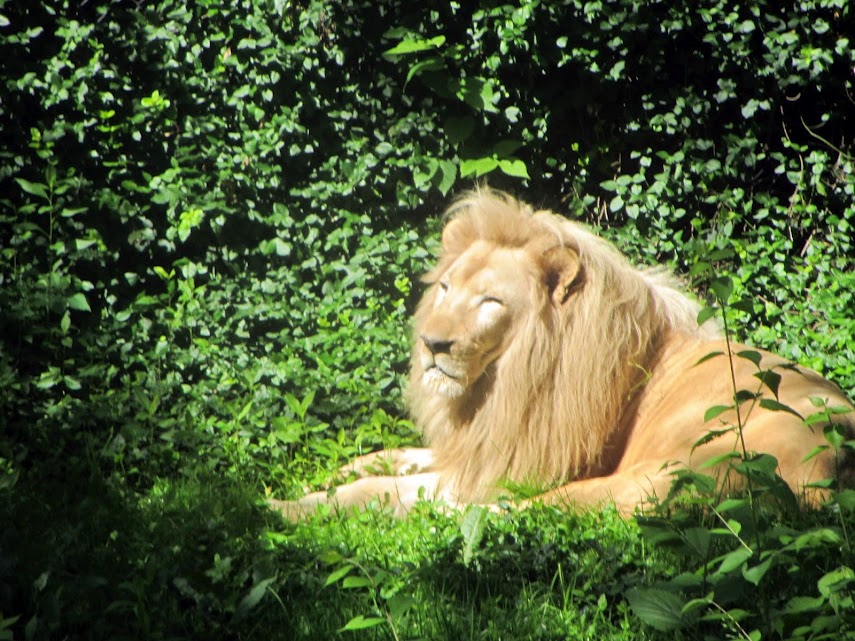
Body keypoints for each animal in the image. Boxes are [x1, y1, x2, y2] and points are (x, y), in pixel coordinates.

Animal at [272, 189, 854, 518]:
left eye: (490, 302)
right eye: (445, 289)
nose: (432, 345)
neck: (500, 384)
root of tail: (837, 458)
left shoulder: (517, 468)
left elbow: (380, 489)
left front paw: (283, 506)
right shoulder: (488, 445)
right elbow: (392, 456)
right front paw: (328, 474)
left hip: (660, 479)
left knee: (515, 516)